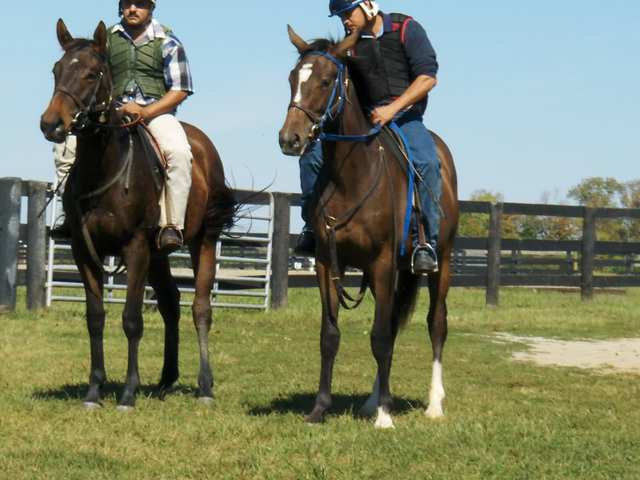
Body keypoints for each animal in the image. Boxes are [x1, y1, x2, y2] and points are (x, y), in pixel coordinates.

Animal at [40, 20, 236, 409]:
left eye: (91, 73)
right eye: (56, 70)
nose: (50, 124)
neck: (105, 168)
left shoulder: (135, 248)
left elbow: (131, 319)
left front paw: (128, 393)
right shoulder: (86, 252)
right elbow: (96, 318)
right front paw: (94, 390)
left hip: (201, 242)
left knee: (200, 308)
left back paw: (205, 387)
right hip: (158, 255)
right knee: (171, 304)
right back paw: (165, 381)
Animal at [279, 27, 459, 428]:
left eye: (325, 81)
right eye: (292, 79)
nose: (290, 139)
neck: (352, 177)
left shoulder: (382, 262)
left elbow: (379, 337)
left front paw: (385, 417)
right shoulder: (329, 264)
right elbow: (331, 336)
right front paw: (320, 408)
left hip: (440, 263)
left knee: (435, 324)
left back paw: (434, 403)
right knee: (391, 327)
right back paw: (375, 398)